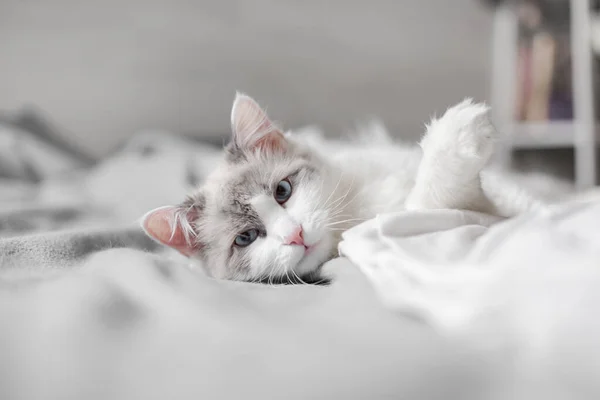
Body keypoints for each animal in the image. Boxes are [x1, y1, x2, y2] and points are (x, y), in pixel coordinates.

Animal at [143, 92, 548, 282]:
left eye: (283, 192)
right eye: (246, 238)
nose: (295, 235)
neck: (356, 214)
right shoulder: (425, 215)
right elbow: (431, 198)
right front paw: (458, 136)